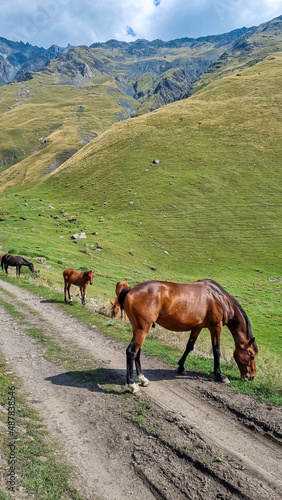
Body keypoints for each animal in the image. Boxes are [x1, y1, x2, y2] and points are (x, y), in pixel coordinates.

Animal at [119, 280, 258, 392]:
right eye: (251, 355)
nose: (251, 377)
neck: (218, 298)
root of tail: (131, 289)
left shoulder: (197, 327)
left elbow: (189, 346)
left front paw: (181, 367)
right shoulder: (216, 327)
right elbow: (216, 351)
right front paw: (219, 374)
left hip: (138, 329)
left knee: (137, 352)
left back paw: (142, 379)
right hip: (142, 329)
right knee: (131, 351)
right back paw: (132, 384)